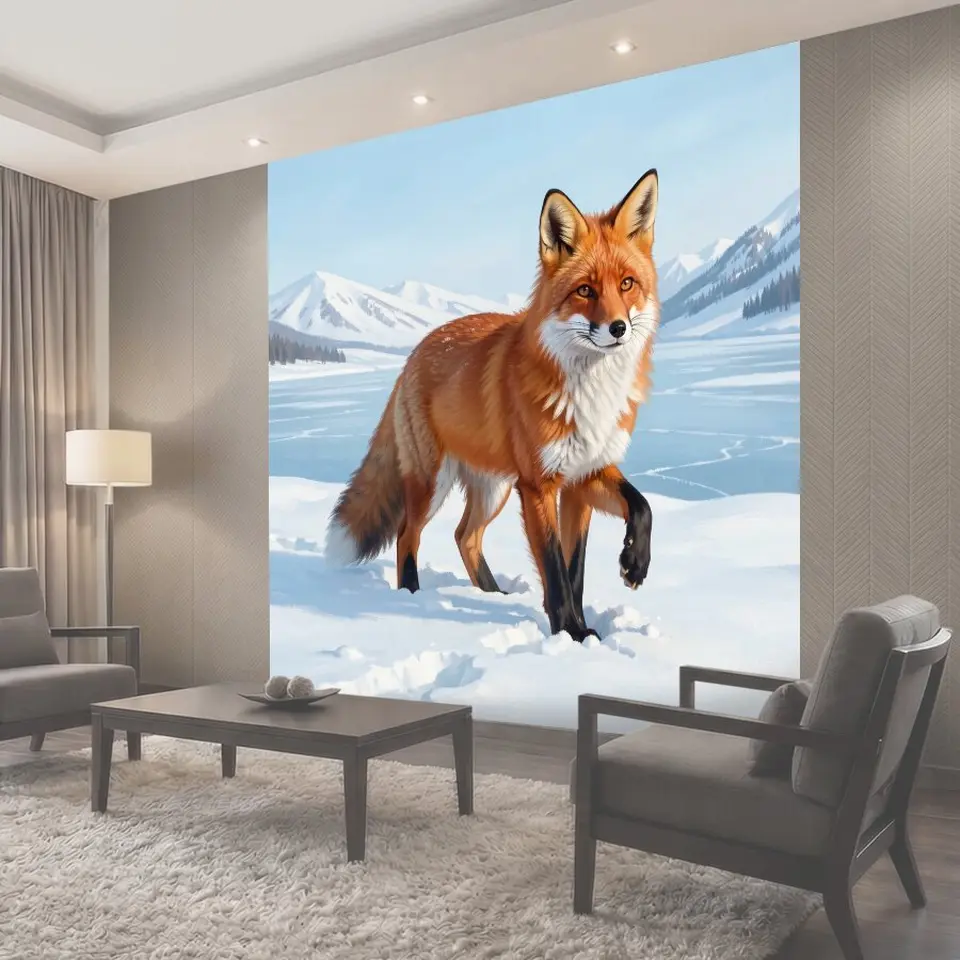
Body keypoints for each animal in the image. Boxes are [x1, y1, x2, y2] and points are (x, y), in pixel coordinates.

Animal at [325, 170, 660, 643]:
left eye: (627, 284)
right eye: (585, 290)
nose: (617, 329)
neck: (589, 394)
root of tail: (414, 353)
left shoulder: (584, 475)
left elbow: (628, 519)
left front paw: (631, 567)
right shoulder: (539, 484)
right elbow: (555, 570)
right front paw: (570, 633)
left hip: (494, 488)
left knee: (465, 536)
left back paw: (493, 595)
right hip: (433, 482)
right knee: (408, 534)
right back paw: (410, 597)